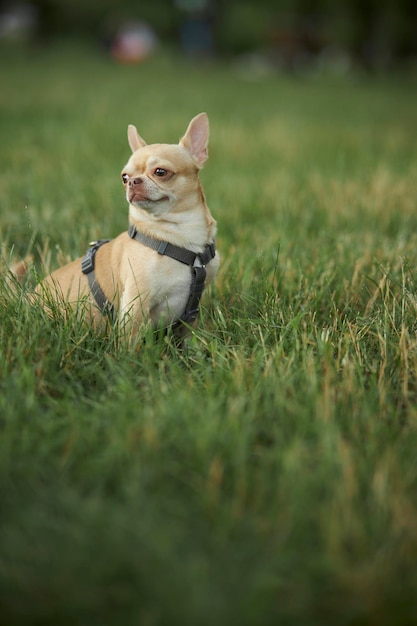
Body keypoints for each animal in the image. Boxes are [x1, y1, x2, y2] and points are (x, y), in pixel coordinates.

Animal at [14, 112, 219, 336]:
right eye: (124, 177)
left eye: (160, 172)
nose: (133, 181)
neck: (178, 236)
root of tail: (25, 299)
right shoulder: (135, 304)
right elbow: (130, 339)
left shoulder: (190, 316)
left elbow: (187, 339)